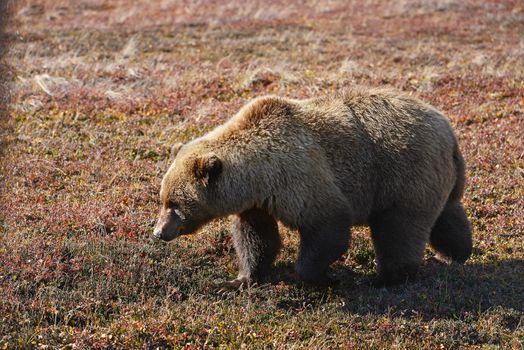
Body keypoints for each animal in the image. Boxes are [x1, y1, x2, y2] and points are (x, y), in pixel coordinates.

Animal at [154, 89, 472, 288]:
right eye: (163, 198)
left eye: (175, 203)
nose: (158, 232)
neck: (257, 176)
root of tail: (449, 131)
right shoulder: (257, 203)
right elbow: (257, 238)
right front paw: (237, 280)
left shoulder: (297, 178)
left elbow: (327, 225)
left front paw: (324, 277)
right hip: (438, 178)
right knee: (447, 216)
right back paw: (455, 254)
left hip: (402, 173)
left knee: (398, 228)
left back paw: (384, 278)